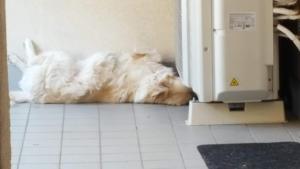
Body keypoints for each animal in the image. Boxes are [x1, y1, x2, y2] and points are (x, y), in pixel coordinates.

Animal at [9, 39, 193, 105]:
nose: (194, 93)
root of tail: (36, 93)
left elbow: (149, 53)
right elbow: (153, 54)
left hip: (58, 57)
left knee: (31, 61)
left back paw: (19, 50)